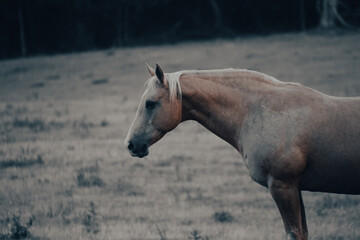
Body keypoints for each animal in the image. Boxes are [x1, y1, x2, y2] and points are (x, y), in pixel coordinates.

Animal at [124, 62, 360, 239]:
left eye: (150, 103)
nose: (131, 144)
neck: (264, 110)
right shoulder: (294, 186)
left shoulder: (282, 186)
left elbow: (295, 233)